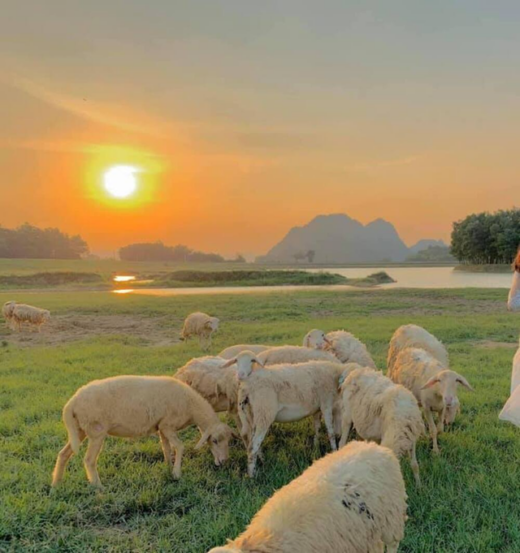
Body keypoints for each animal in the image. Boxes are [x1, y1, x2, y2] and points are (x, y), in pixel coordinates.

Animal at [50, 374, 234, 486]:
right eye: (214, 440)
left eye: (228, 441)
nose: (224, 461)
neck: (192, 406)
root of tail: (71, 403)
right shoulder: (168, 425)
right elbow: (180, 446)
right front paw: (176, 473)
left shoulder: (161, 427)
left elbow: (166, 448)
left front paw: (168, 467)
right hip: (96, 430)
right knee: (88, 460)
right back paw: (98, 487)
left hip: (79, 429)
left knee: (63, 454)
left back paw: (56, 484)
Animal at [223, 352, 354, 476]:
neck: (334, 376)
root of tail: (247, 386)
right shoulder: (326, 403)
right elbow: (330, 432)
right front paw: (334, 451)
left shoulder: (316, 408)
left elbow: (317, 427)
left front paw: (316, 446)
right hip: (264, 413)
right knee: (252, 446)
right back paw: (252, 475)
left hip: (250, 415)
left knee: (252, 441)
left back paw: (261, 461)